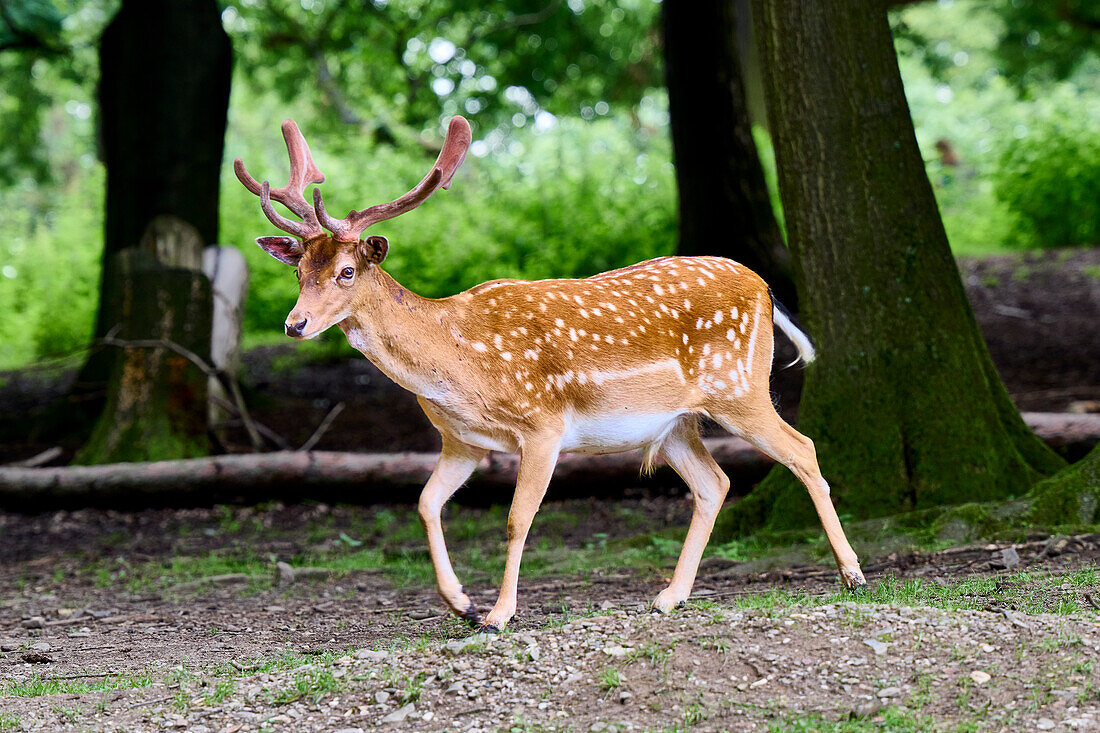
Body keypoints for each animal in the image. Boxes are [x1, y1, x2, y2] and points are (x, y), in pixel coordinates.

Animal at [234, 117, 866, 629]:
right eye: (299, 273)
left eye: (345, 271)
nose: (294, 324)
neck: (454, 363)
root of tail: (765, 288)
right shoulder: (461, 440)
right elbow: (425, 503)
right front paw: (461, 603)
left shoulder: (542, 424)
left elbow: (517, 518)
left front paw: (498, 614)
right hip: (675, 424)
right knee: (716, 482)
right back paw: (669, 596)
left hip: (739, 387)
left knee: (802, 448)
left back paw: (853, 574)